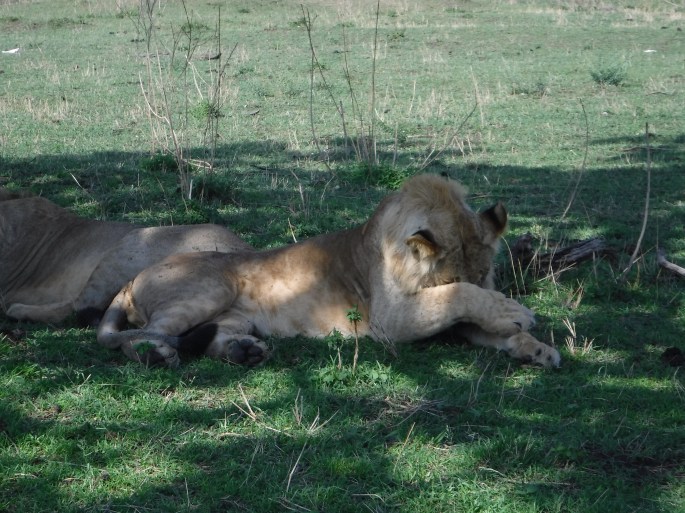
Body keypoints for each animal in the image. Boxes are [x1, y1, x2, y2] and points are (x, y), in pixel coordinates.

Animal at [97, 175, 561, 368]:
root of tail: (130, 280)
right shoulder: (391, 321)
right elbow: (457, 297)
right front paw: (515, 314)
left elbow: (485, 322)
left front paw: (534, 348)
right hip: (209, 289)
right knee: (135, 336)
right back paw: (156, 355)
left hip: (233, 315)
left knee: (206, 336)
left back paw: (244, 352)